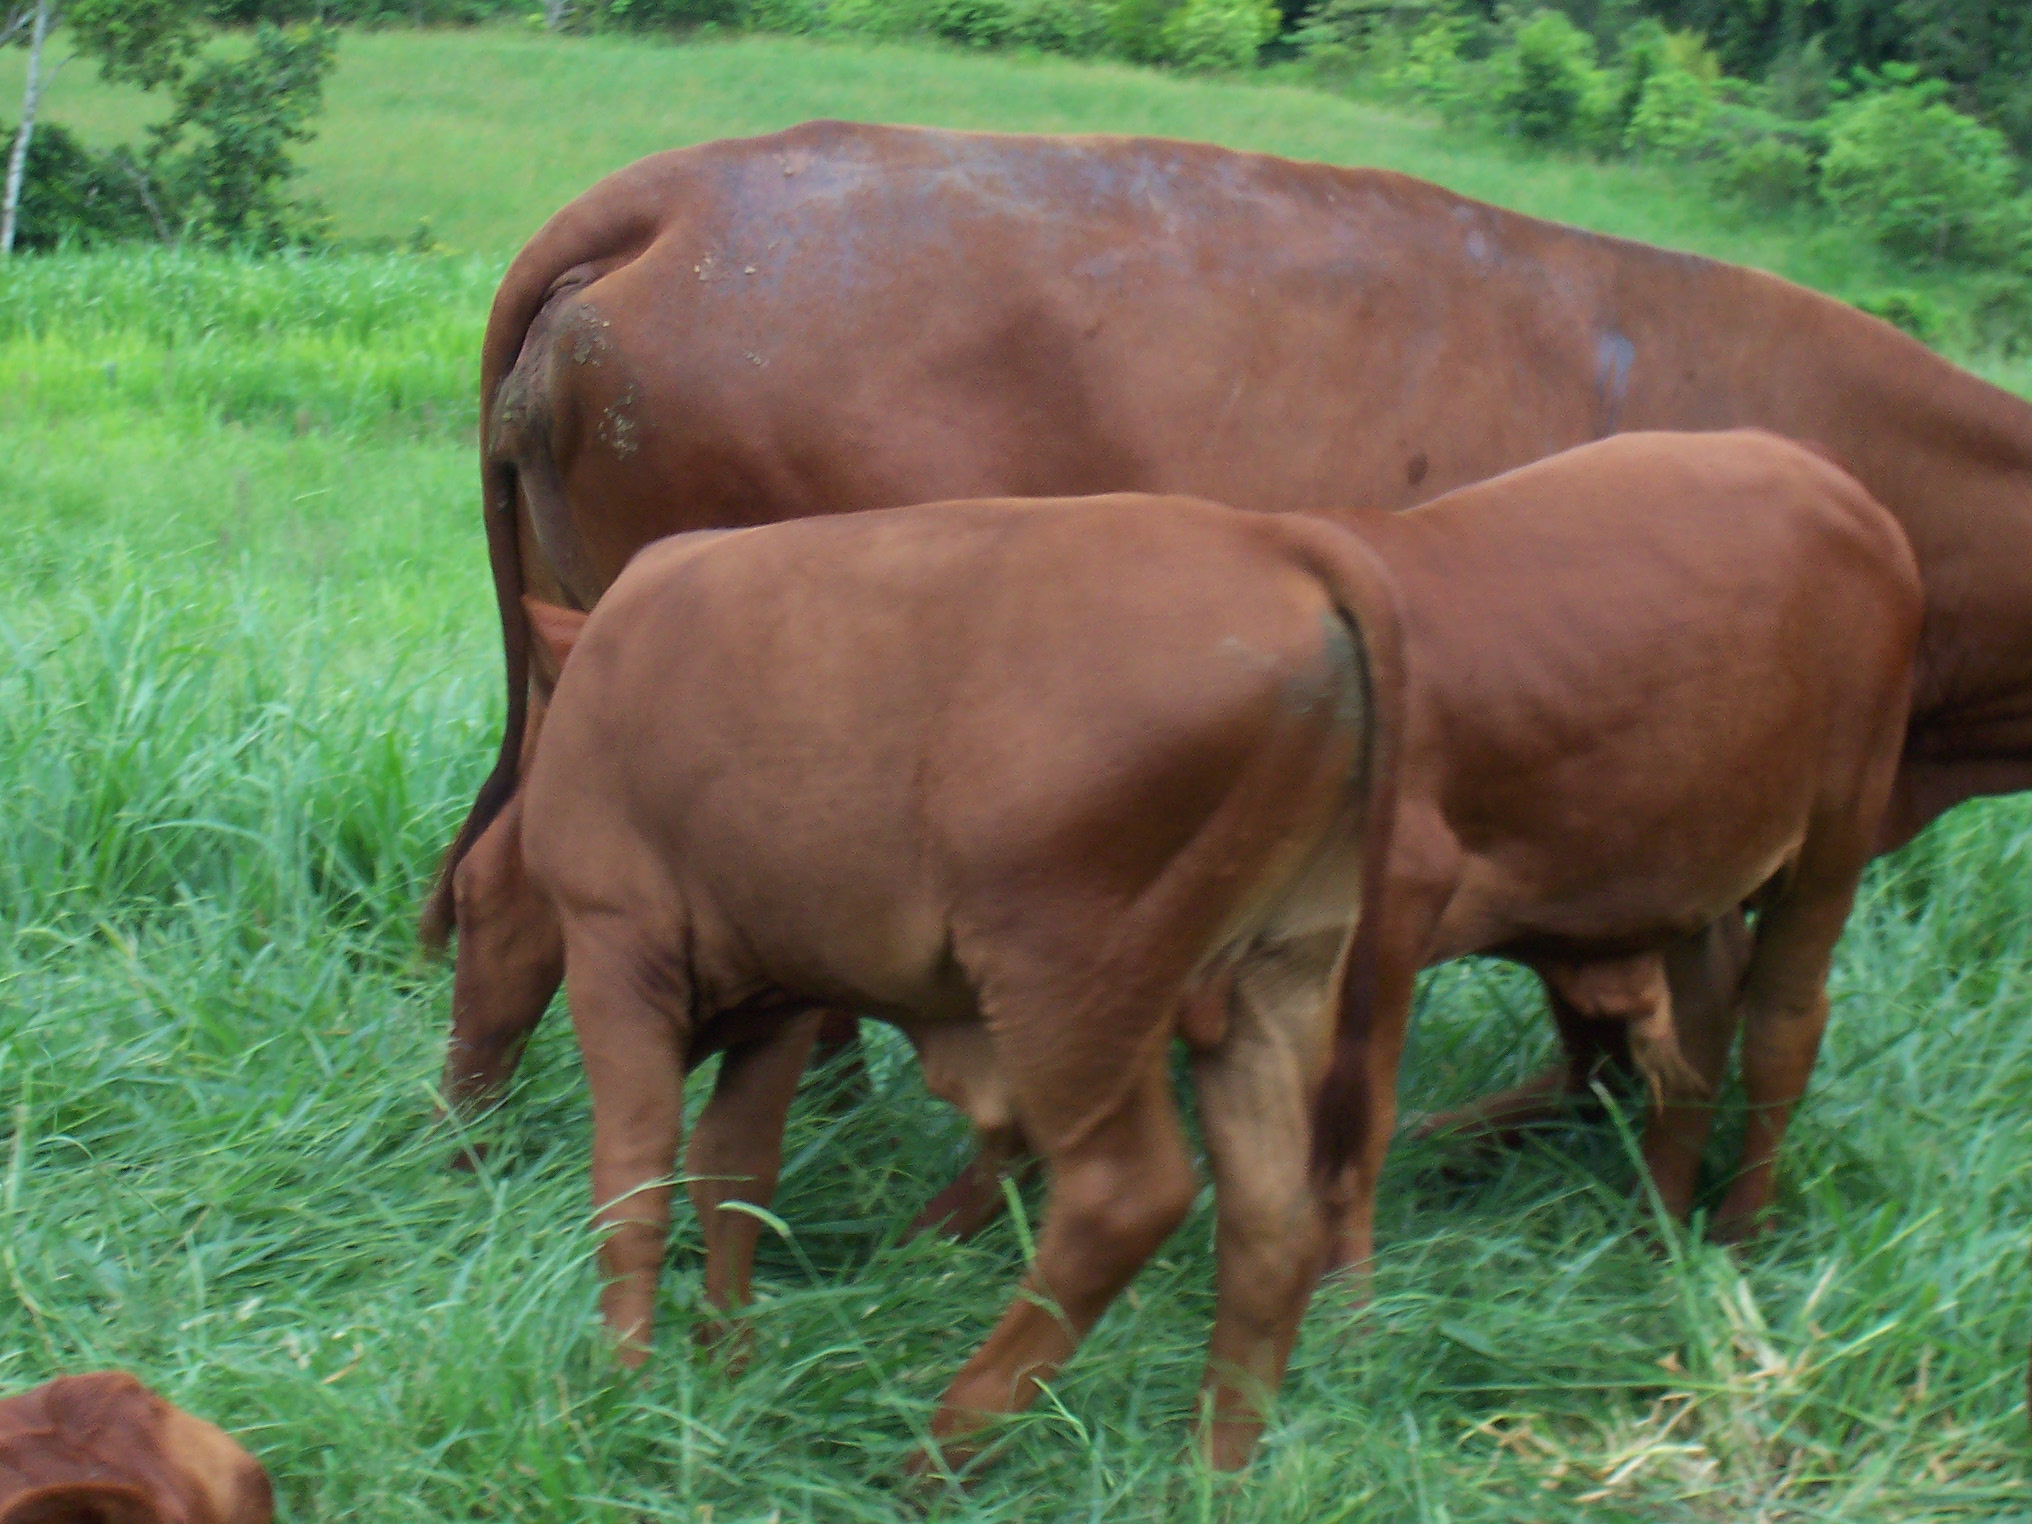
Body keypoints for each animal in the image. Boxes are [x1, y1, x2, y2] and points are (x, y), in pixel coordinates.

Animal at [512, 432, 1918, 1479]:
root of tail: (1284, 545)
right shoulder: (772, 999)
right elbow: (729, 1173)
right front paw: (721, 1363)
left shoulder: (622, 954)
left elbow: (635, 1172)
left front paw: (621, 1386)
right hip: (1278, 978)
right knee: (1283, 1210)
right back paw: (1217, 1463)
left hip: (1078, 986)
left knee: (1131, 1196)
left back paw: (941, 1449)